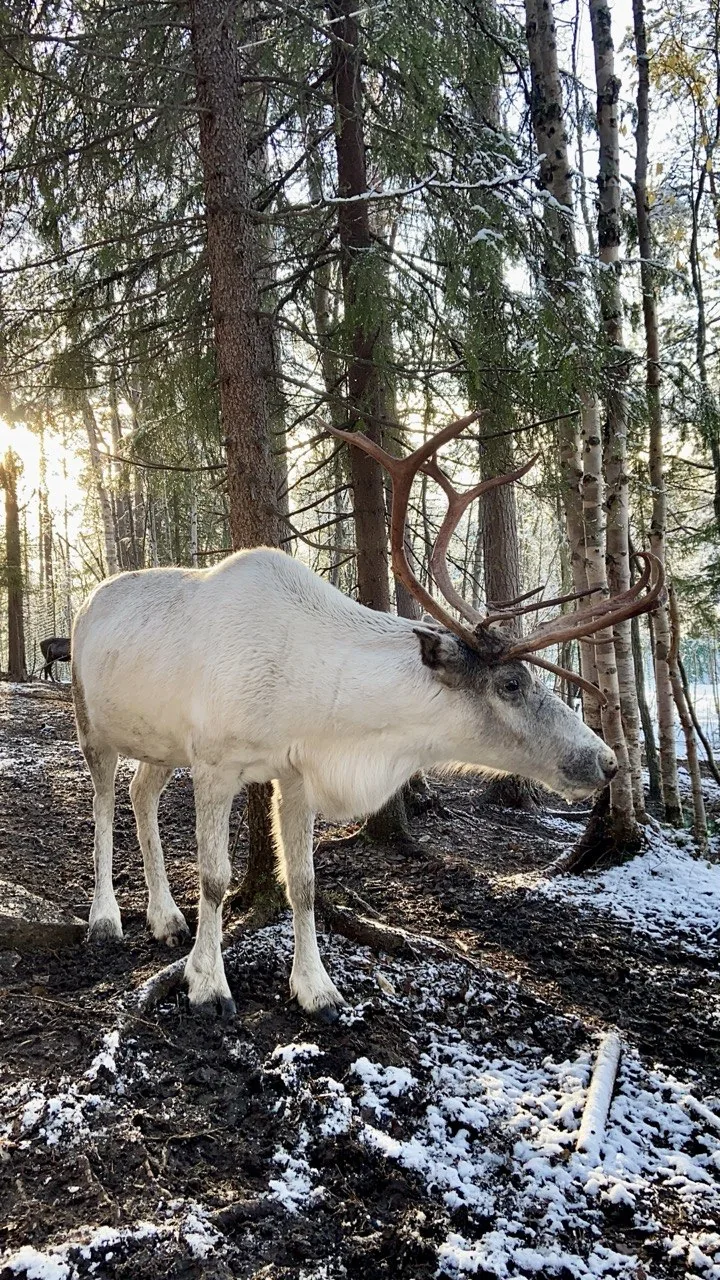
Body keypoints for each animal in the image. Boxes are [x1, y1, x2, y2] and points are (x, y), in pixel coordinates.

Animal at [71, 411, 664, 1021]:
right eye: (511, 683)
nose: (607, 761)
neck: (332, 712)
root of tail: (86, 601)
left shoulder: (294, 773)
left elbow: (303, 881)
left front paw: (316, 989)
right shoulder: (215, 764)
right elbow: (215, 878)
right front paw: (207, 984)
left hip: (160, 743)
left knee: (141, 793)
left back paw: (165, 917)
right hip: (91, 723)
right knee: (102, 803)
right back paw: (105, 918)